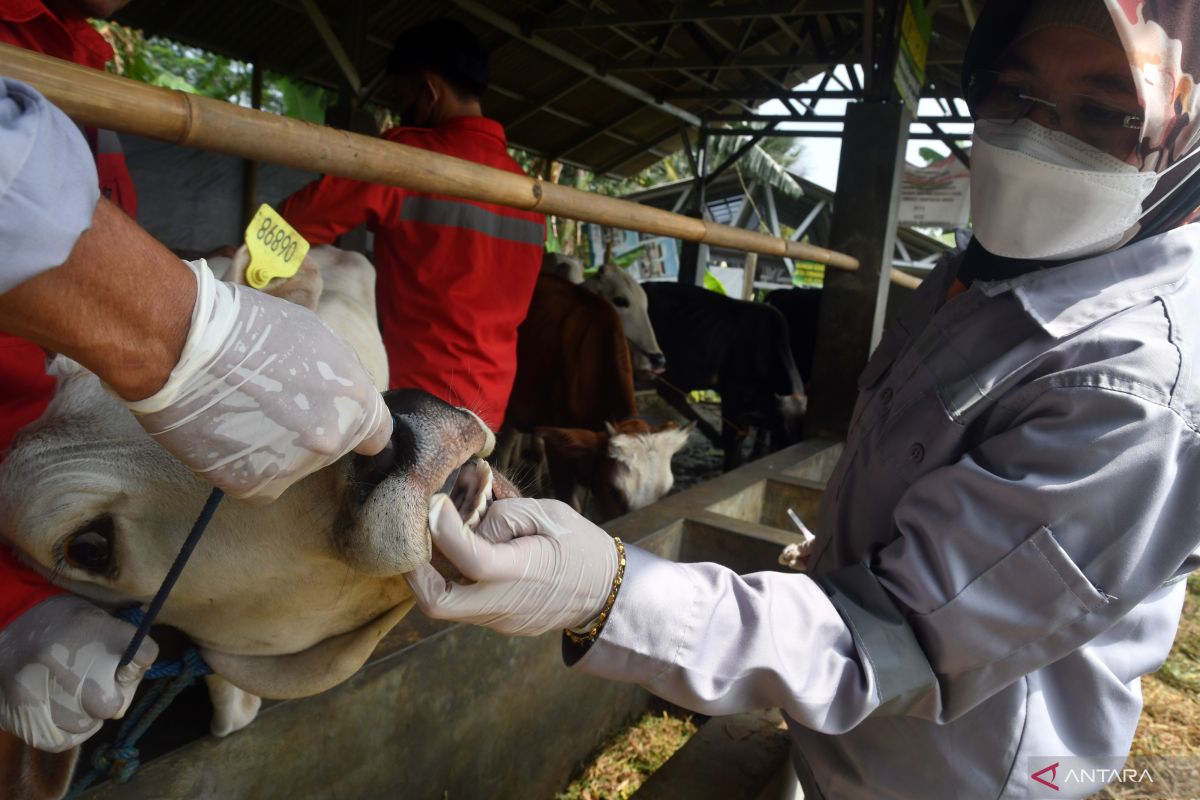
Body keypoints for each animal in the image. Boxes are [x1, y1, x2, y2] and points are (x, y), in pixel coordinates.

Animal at [638, 281, 806, 472]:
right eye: (782, 429)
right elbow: (735, 436)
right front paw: (731, 466)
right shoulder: (731, 395)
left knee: (671, 394)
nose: (789, 451)